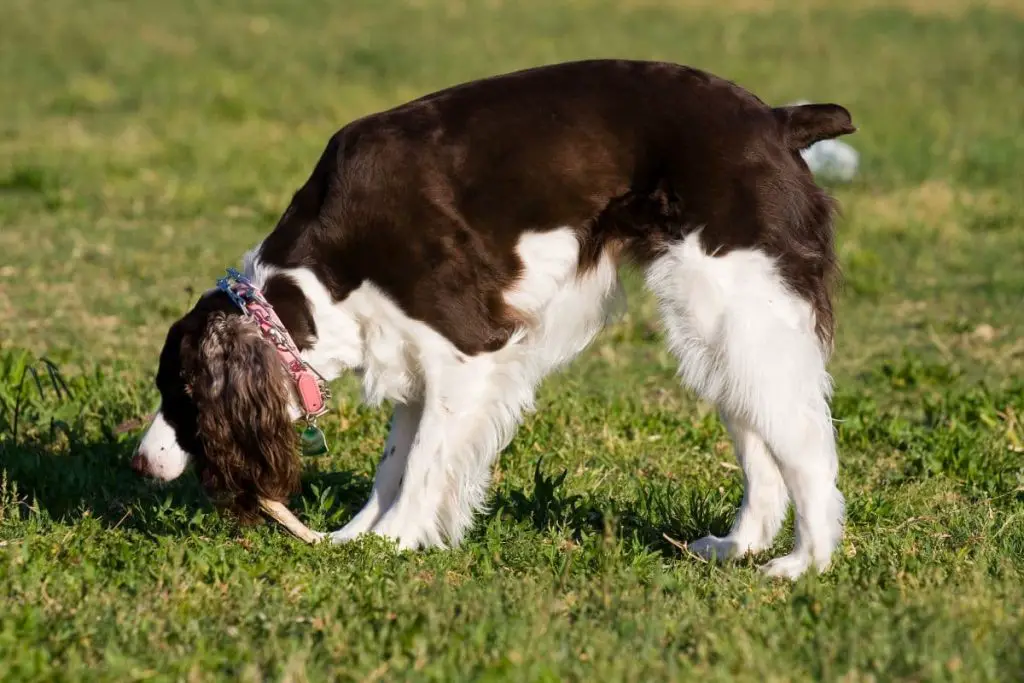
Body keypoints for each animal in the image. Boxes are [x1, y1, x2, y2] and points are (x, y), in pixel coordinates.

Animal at [136, 61, 856, 581]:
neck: (315, 279)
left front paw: (395, 542)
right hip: (717, 326)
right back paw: (737, 546)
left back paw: (803, 563)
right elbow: (393, 465)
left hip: (737, 306)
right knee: (763, 437)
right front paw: (353, 537)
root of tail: (777, 120)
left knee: (805, 438)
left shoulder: (466, 352)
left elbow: (423, 465)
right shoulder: (412, 356)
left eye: (183, 391)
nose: (142, 462)